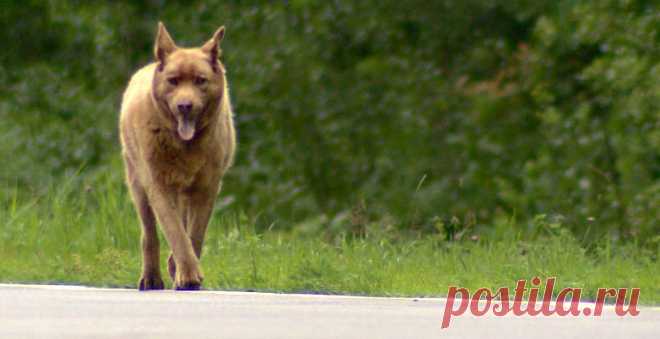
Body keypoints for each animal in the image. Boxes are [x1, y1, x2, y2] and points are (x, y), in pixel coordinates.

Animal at [120, 22, 236, 290]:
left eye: (200, 81)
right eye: (173, 81)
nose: (185, 106)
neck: (185, 145)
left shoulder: (207, 186)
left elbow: (194, 234)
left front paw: (183, 270)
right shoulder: (158, 184)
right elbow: (174, 231)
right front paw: (187, 274)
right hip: (137, 183)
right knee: (149, 234)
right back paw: (151, 278)